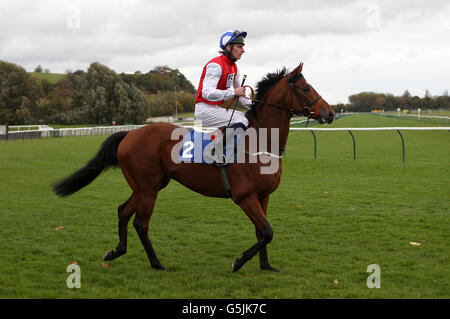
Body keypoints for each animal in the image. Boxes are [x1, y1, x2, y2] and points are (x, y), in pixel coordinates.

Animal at [52, 63, 334, 274]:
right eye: (306, 87)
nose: (330, 113)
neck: (260, 141)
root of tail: (130, 134)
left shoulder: (263, 196)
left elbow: (262, 232)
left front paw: (265, 265)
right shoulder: (244, 197)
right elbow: (266, 231)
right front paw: (238, 262)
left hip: (147, 186)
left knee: (123, 211)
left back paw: (116, 251)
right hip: (148, 190)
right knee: (141, 223)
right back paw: (157, 264)